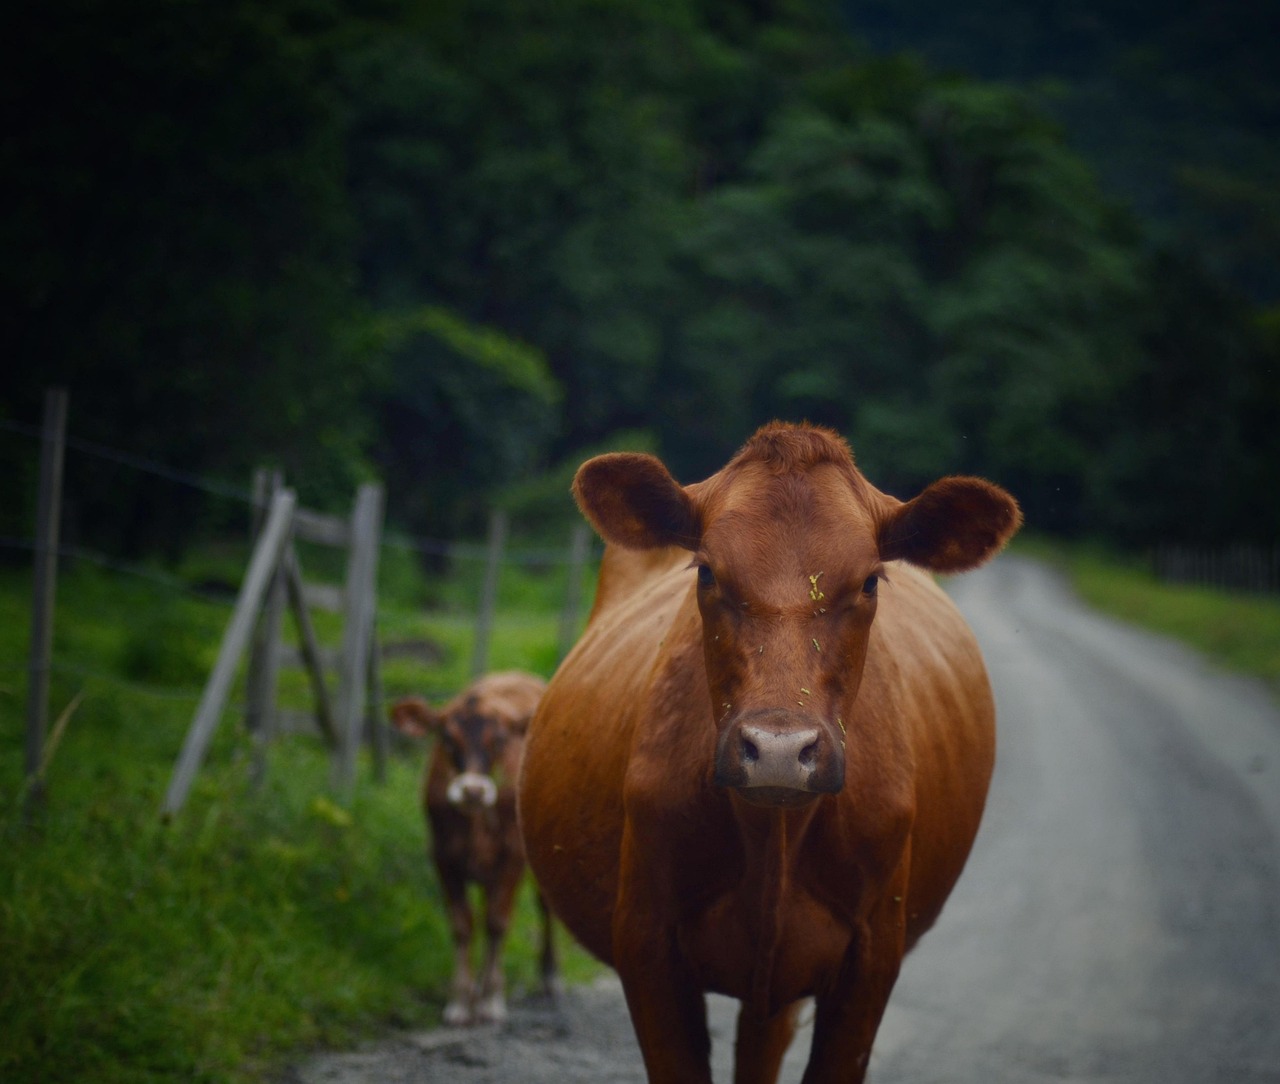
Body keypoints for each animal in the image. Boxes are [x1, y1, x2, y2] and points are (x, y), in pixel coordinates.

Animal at [391, 670, 558, 1027]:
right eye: (447, 738)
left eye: (498, 741)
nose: (473, 790)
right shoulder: (443, 858)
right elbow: (462, 925)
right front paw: (459, 1000)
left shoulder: (512, 856)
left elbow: (496, 922)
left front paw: (492, 999)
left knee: (544, 906)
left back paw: (550, 976)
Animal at [517, 422, 1021, 1083]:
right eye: (706, 572)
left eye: (869, 580)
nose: (780, 750)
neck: (771, 837)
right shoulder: (646, 945)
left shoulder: (872, 957)